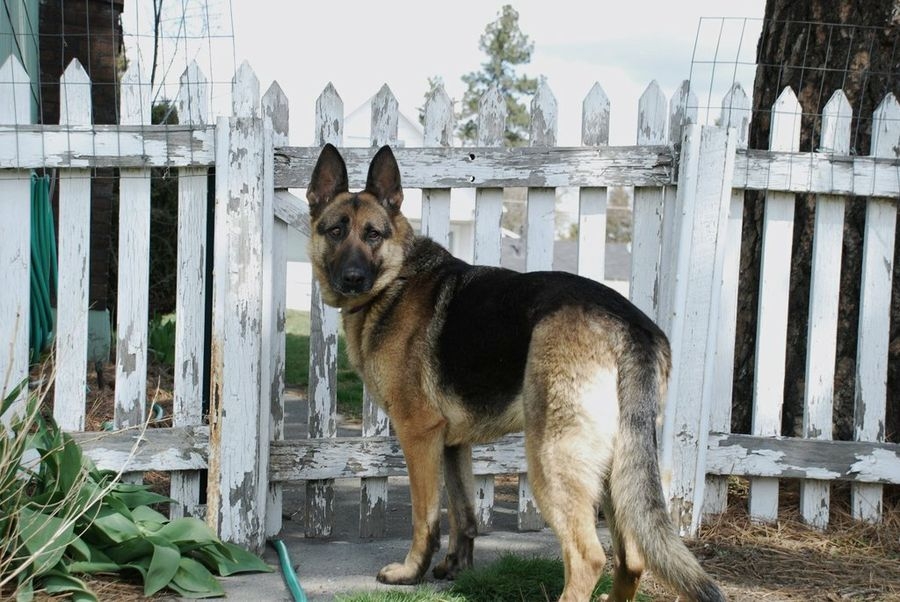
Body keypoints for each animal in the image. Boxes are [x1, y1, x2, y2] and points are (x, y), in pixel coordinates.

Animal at [306, 143, 728, 596]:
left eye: (373, 234)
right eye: (335, 231)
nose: (353, 278)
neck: (395, 279)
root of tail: (630, 325)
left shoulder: (418, 435)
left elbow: (426, 516)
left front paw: (411, 572)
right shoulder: (452, 444)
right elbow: (463, 512)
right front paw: (455, 566)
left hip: (550, 458)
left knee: (588, 557)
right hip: (617, 467)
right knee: (632, 557)